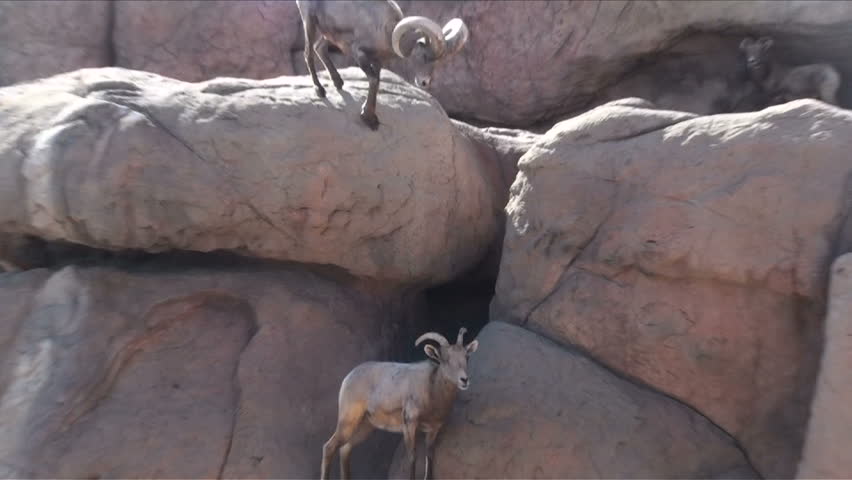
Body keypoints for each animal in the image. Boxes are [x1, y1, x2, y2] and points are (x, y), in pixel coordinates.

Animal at [295, 0, 470, 130]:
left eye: (439, 62)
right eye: (424, 55)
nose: (424, 82)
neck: (385, 29)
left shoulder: (378, 61)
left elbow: (377, 82)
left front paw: (371, 117)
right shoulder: (359, 54)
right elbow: (373, 80)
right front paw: (368, 119)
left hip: (328, 33)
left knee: (319, 48)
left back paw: (338, 82)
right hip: (309, 22)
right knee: (308, 53)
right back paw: (320, 90)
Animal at [320, 327, 479, 480]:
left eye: (466, 356)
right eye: (445, 359)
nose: (464, 380)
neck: (432, 391)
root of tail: (348, 377)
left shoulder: (433, 430)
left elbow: (429, 456)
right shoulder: (409, 424)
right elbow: (412, 456)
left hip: (365, 426)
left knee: (345, 449)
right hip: (348, 420)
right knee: (329, 447)